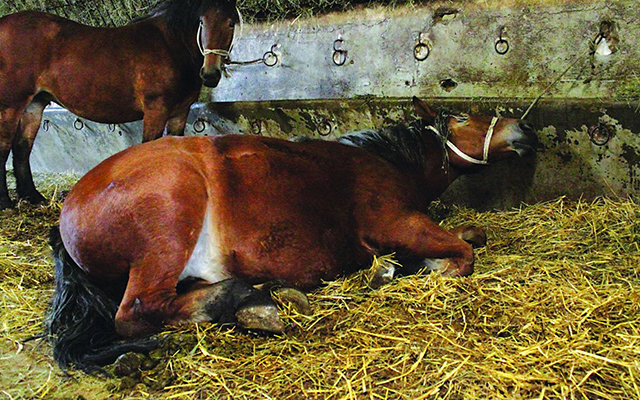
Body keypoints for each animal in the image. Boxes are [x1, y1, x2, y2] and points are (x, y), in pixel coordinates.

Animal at [0, 0, 240, 210]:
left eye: (231, 23)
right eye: (201, 22)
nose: (210, 74)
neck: (171, 45)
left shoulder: (180, 112)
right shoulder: (156, 110)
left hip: (33, 105)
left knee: (21, 148)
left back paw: (32, 197)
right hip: (10, 106)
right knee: (5, 148)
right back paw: (6, 204)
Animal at [45, 96, 537, 372]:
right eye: (461, 118)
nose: (525, 128)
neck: (387, 161)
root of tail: (67, 212)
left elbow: (473, 235)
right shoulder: (398, 222)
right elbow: (461, 255)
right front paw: (400, 270)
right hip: (169, 222)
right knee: (136, 311)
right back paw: (252, 301)